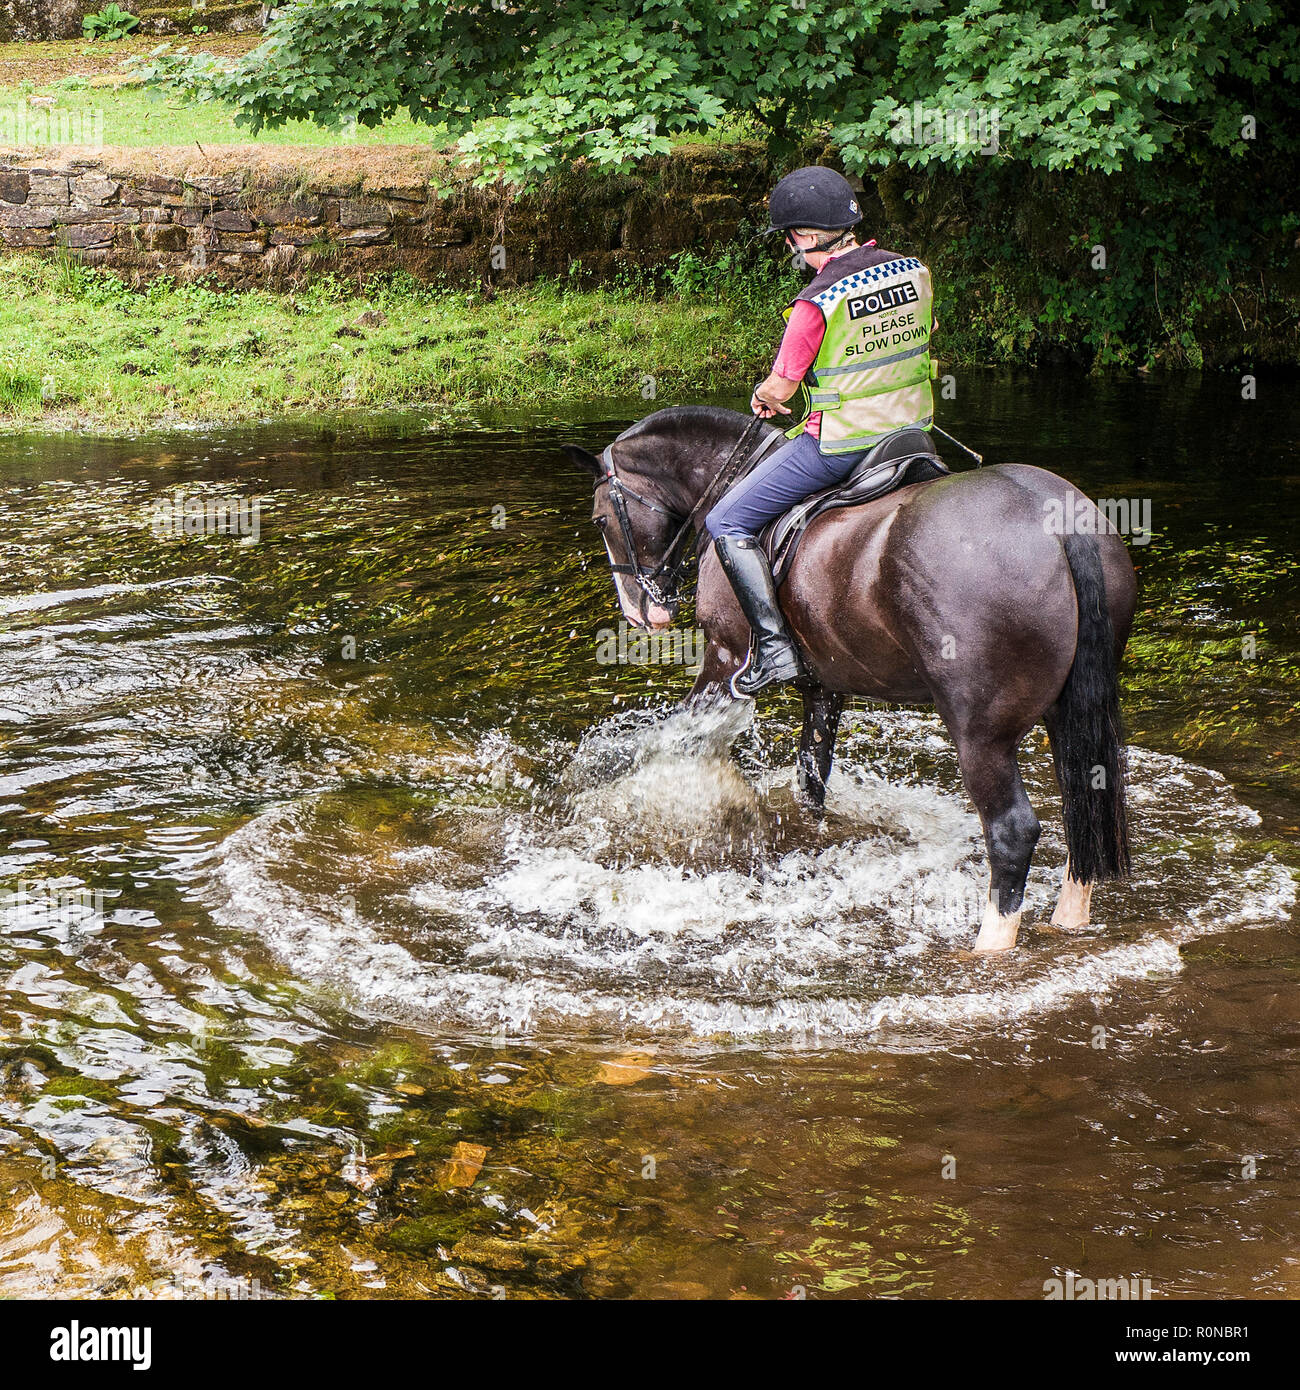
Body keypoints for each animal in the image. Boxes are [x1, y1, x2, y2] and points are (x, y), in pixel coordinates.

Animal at [563, 405, 1137, 954]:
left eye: (599, 519)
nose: (642, 612)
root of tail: (1052, 514)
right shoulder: (824, 686)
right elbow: (810, 779)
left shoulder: (723, 664)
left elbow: (669, 742)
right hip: (1067, 713)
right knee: (1084, 800)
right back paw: (1071, 915)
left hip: (981, 733)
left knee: (1012, 831)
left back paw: (989, 945)